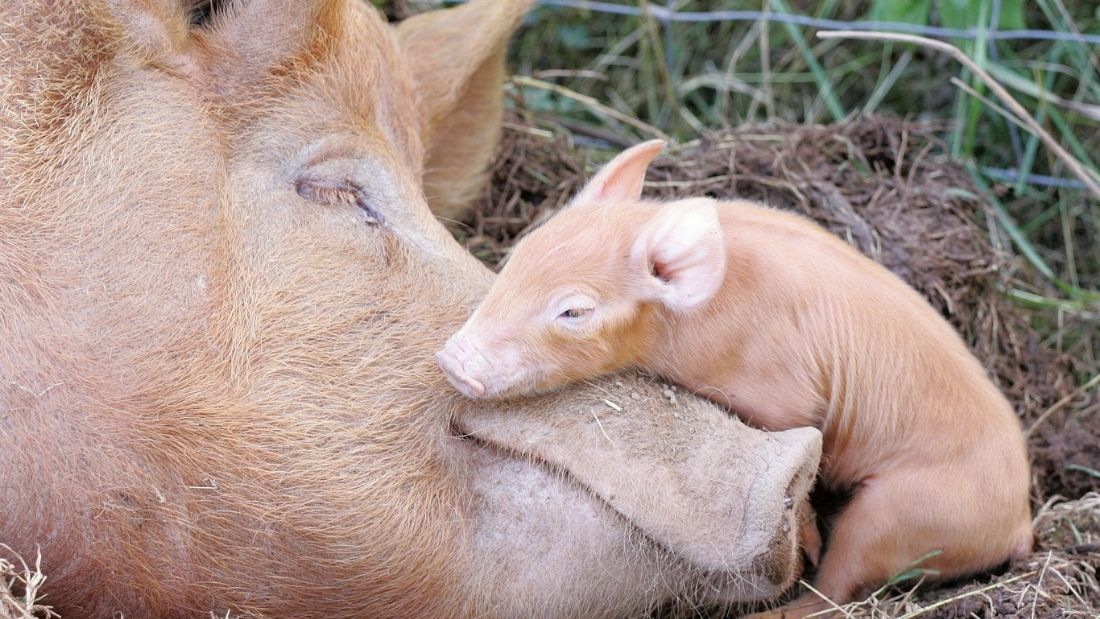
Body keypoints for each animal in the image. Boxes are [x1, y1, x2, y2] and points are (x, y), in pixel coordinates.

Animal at [438, 139, 1034, 617]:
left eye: (573, 311)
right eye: (518, 255)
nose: (453, 362)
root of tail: (1021, 521)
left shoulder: (785, 394)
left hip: (905, 512)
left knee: (839, 586)